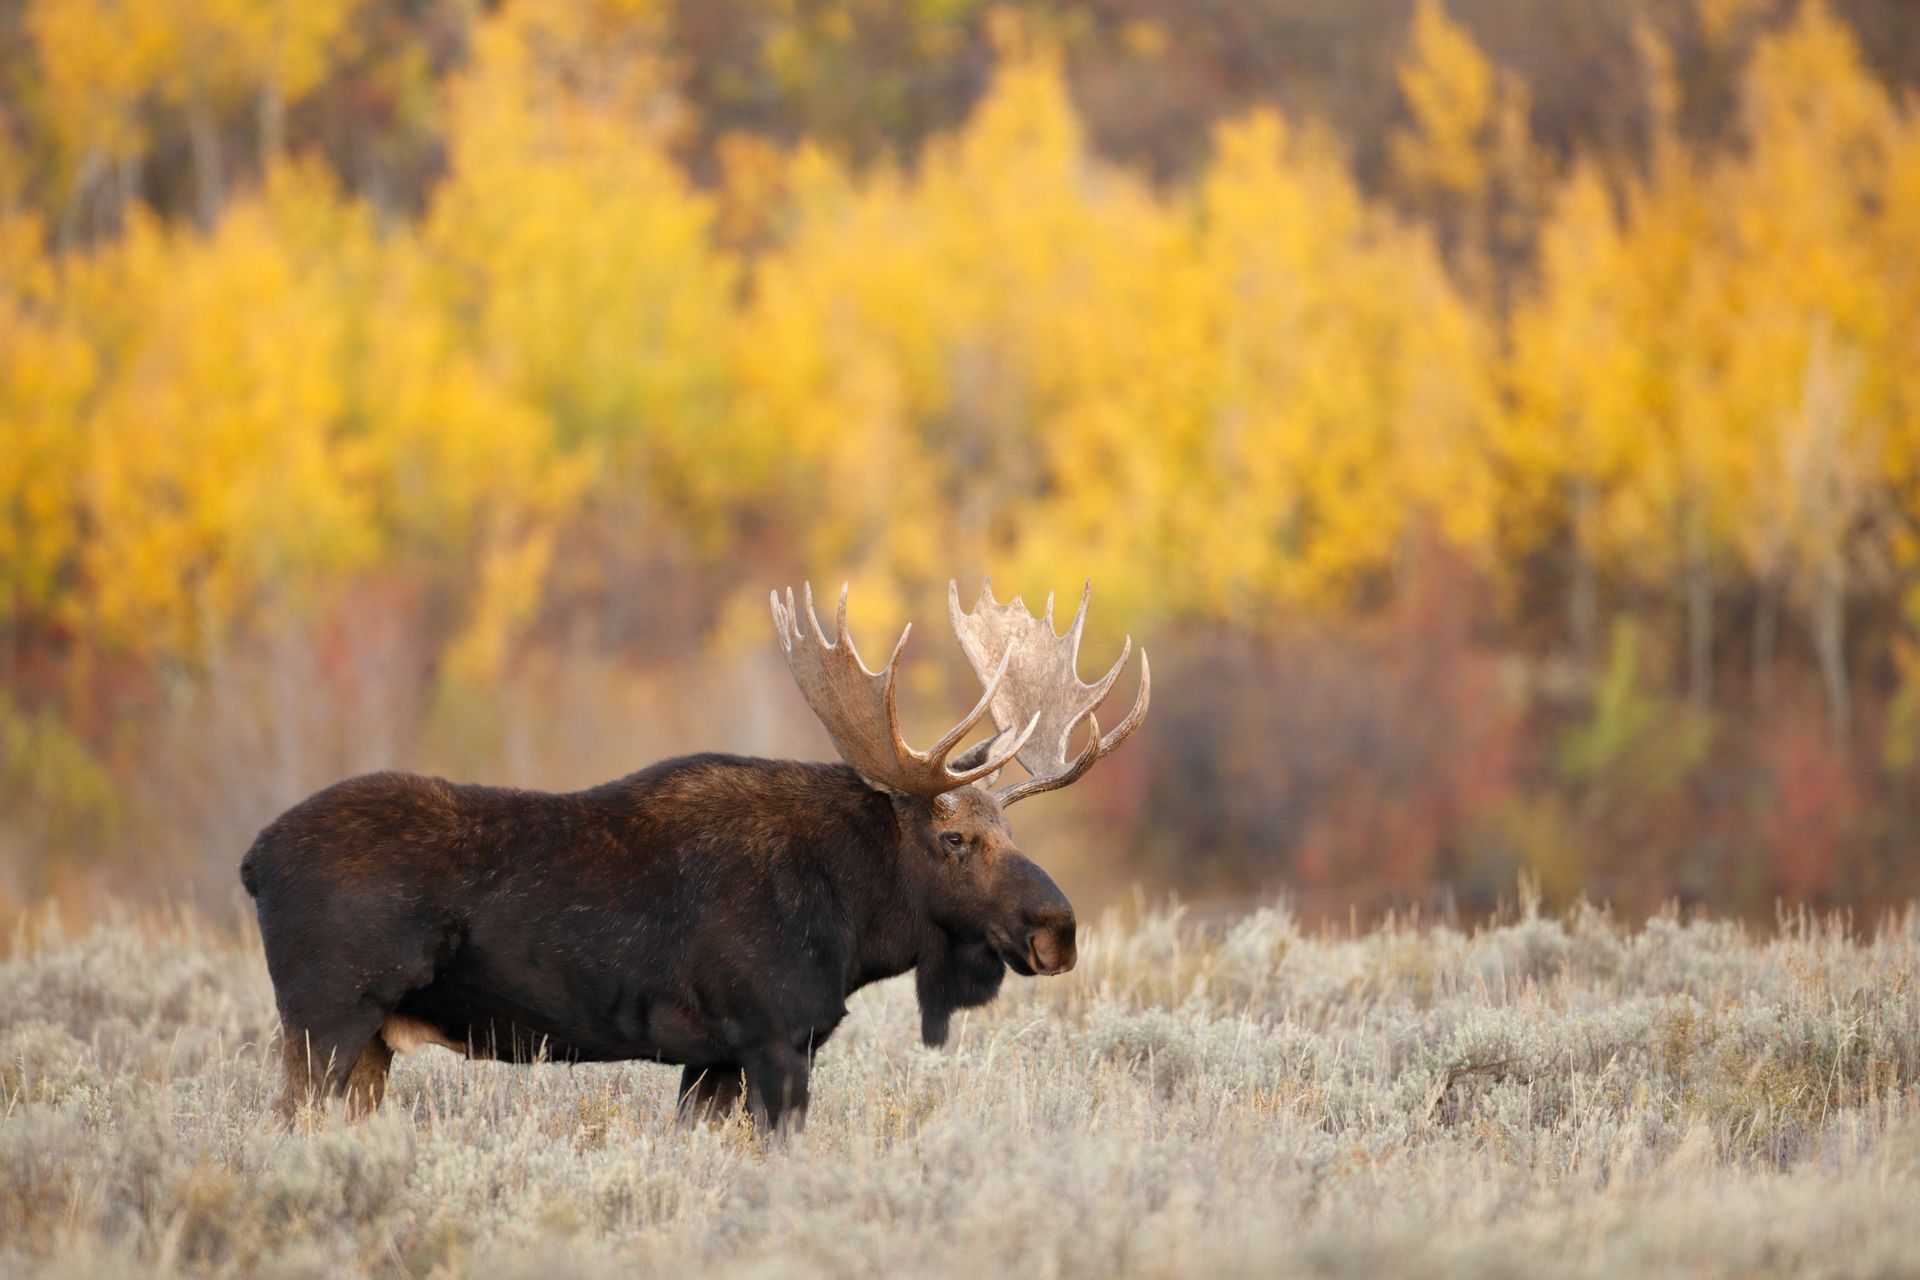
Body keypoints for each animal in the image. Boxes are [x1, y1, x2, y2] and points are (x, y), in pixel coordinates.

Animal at [236, 579, 1136, 1128]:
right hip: (326, 1015)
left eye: (1014, 834)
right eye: (954, 838)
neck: (851, 922)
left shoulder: (712, 1060)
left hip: (369, 1043)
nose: (1058, 930)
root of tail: (253, 861)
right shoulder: (770, 1033)